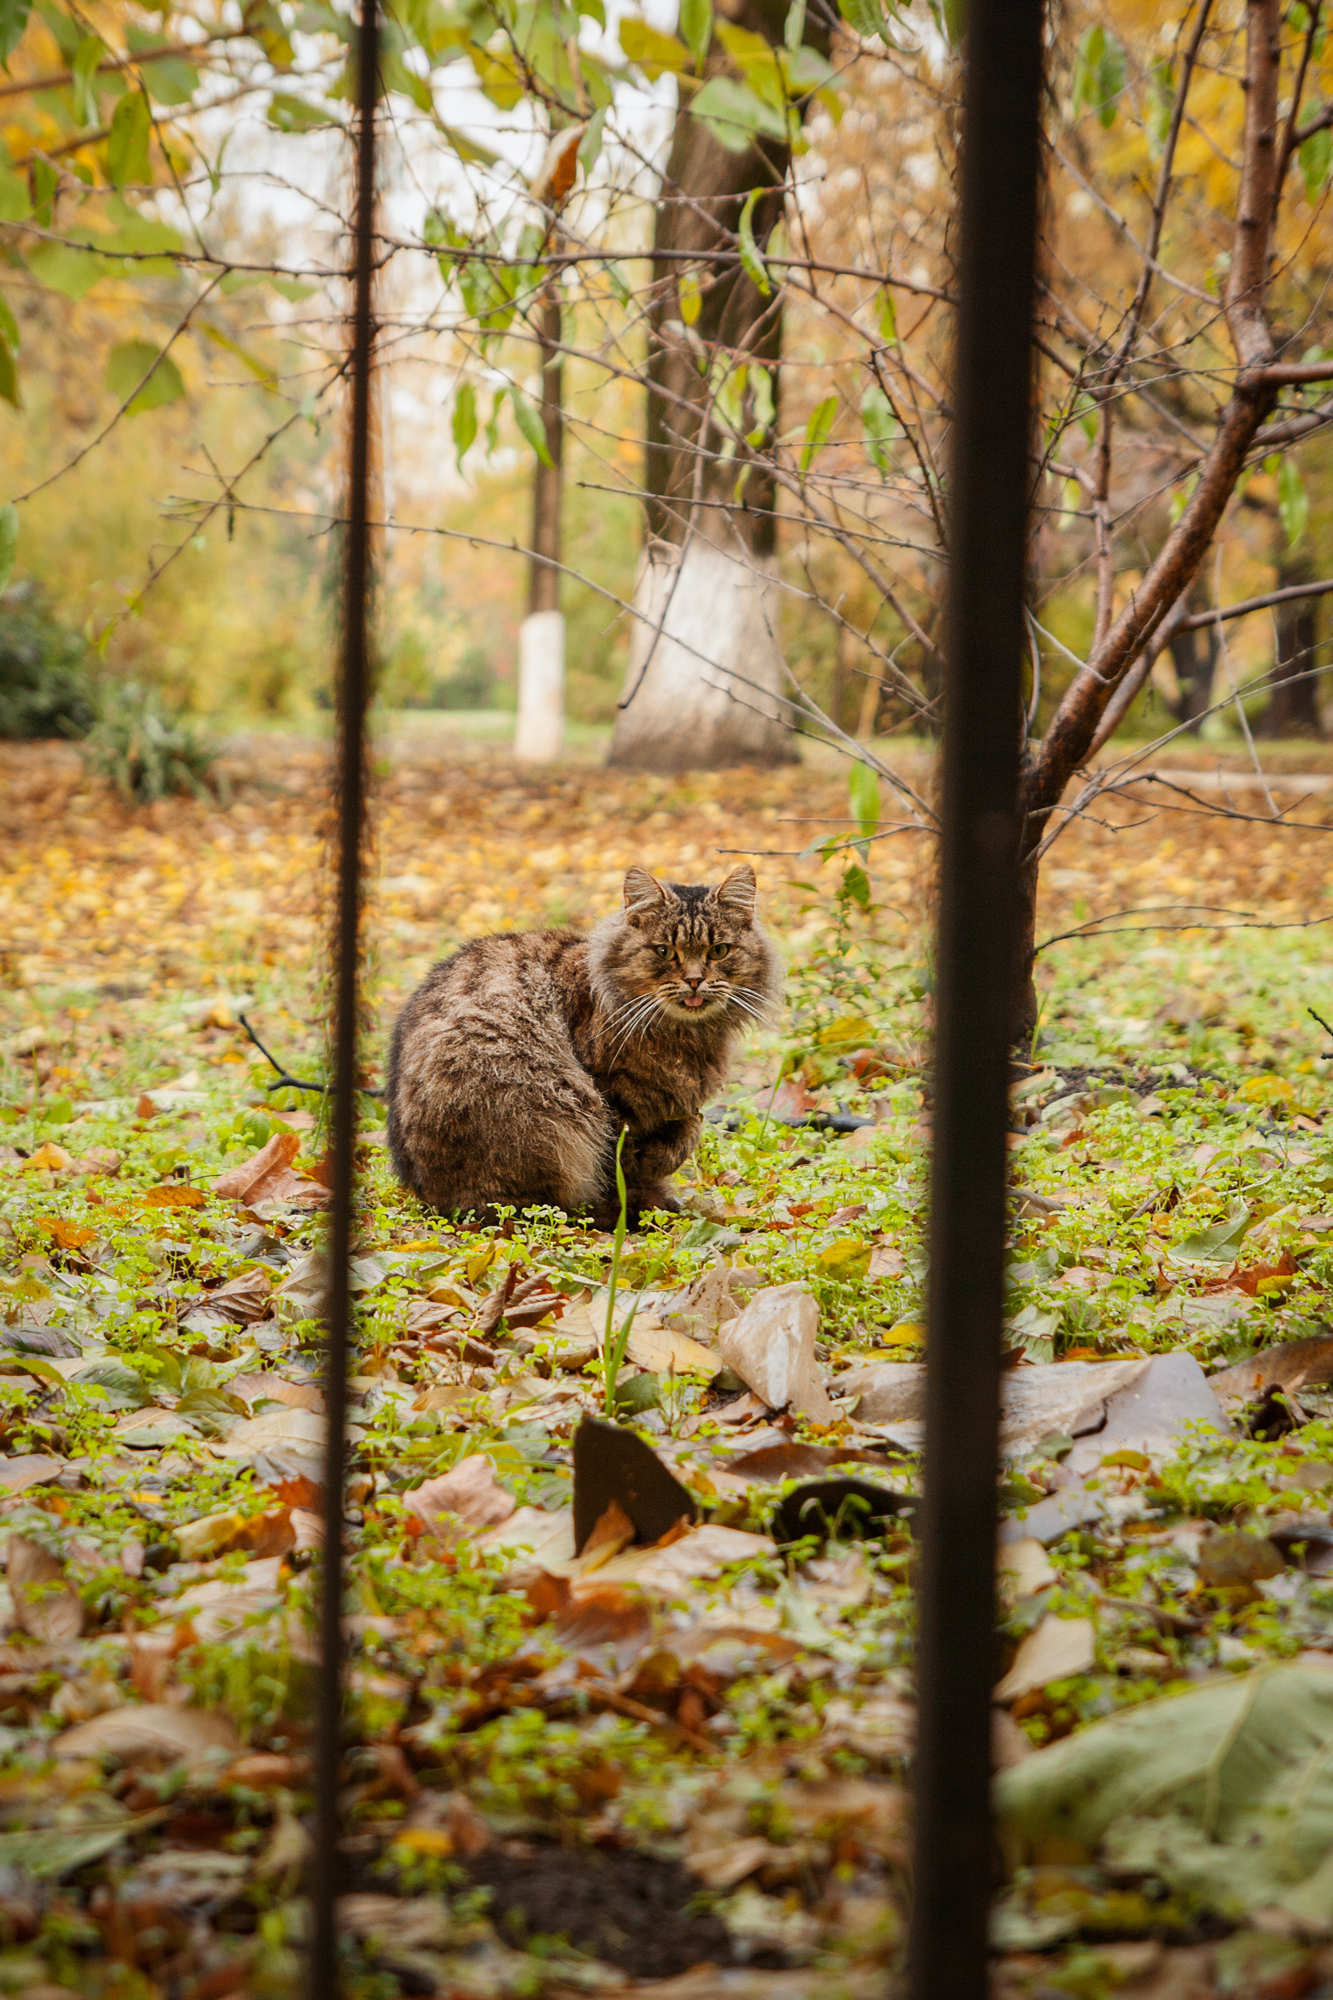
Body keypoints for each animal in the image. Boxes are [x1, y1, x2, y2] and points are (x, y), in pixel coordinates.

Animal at [384, 864, 780, 1224]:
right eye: (665, 951)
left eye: (719, 951)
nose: (695, 980)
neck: (685, 1035)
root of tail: (429, 1196)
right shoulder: (615, 1097)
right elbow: (626, 1164)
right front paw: (647, 1195)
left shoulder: (677, 1102)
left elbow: (687, 1131)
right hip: (542, 1112)